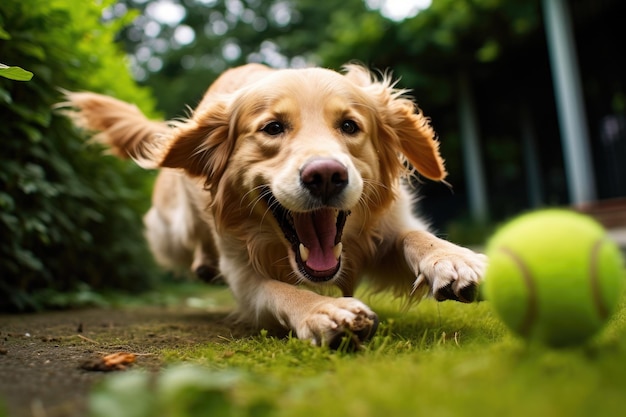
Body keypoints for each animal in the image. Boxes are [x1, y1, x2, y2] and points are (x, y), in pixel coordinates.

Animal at [66, 63, 486, 346]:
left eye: (349, 126)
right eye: (273, 128)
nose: (326, 175)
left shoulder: (386, 225)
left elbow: (414, 236)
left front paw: (453, 259)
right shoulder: (243, 276)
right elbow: (282, 291)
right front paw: (323, 311)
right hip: (173, 230)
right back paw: (203, 264)